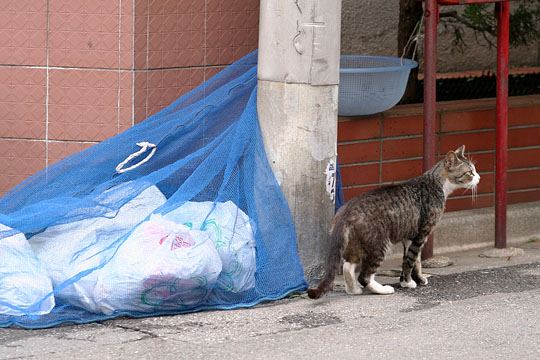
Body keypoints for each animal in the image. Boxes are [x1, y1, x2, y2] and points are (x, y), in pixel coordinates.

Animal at [308, 145, 480, 300]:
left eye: (474, 170)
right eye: (469, 172)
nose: (479, 178)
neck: (437, 184)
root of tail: (346, 210)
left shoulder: (410, 235)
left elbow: (414, 261)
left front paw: (416, 279)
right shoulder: (422, 233)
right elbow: (411, 260)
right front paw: (408, 283)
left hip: (356, 242)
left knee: (348, 265)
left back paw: (353, 290)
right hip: (379, 243)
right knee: (364, 275)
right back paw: (382, 289)